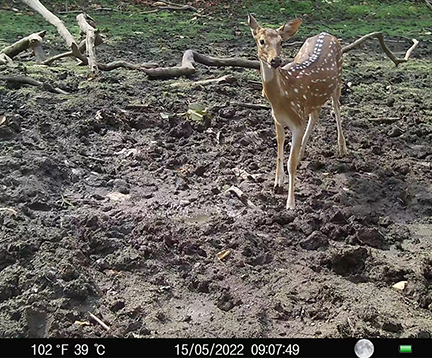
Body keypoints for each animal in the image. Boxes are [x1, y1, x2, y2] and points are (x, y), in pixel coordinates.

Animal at [250, 14, 348, 210]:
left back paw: (342, 148)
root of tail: (327, 33)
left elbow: (291, 163)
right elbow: (279, 149)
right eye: (261, 41)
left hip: (339, 78)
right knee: (315, 115)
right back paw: (302, 151)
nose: (276, 60)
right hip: (312, 101)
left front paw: (290, 203)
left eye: (281, 42)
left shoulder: (297, 121)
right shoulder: (277, 119)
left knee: (336, 108)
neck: (282, 97)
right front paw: (277, 183)